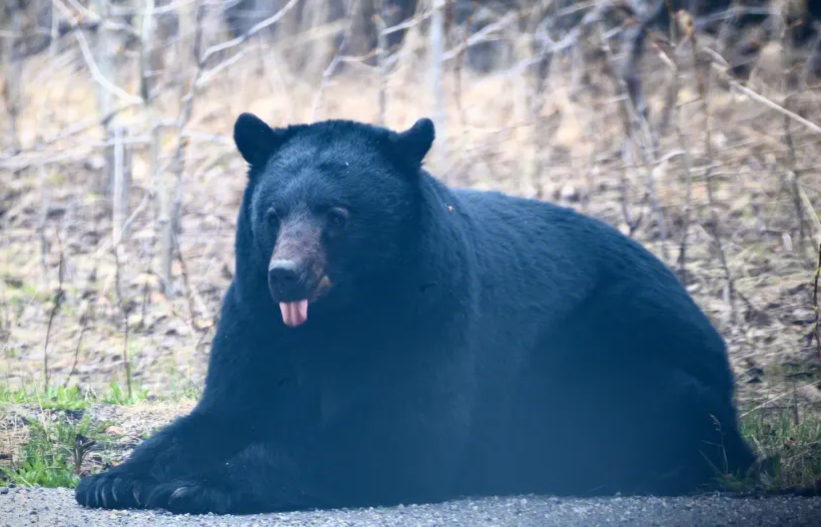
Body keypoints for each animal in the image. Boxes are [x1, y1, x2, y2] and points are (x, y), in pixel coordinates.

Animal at [77, 115, 756, 516]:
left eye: (337, 214)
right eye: (272, 214)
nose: (285, 274)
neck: (335, 318)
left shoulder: (427, 313)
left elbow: (395, 434)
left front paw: (197, 485)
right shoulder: (254, 320)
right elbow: (226, 409)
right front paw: (115, 478)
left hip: (614, 344)